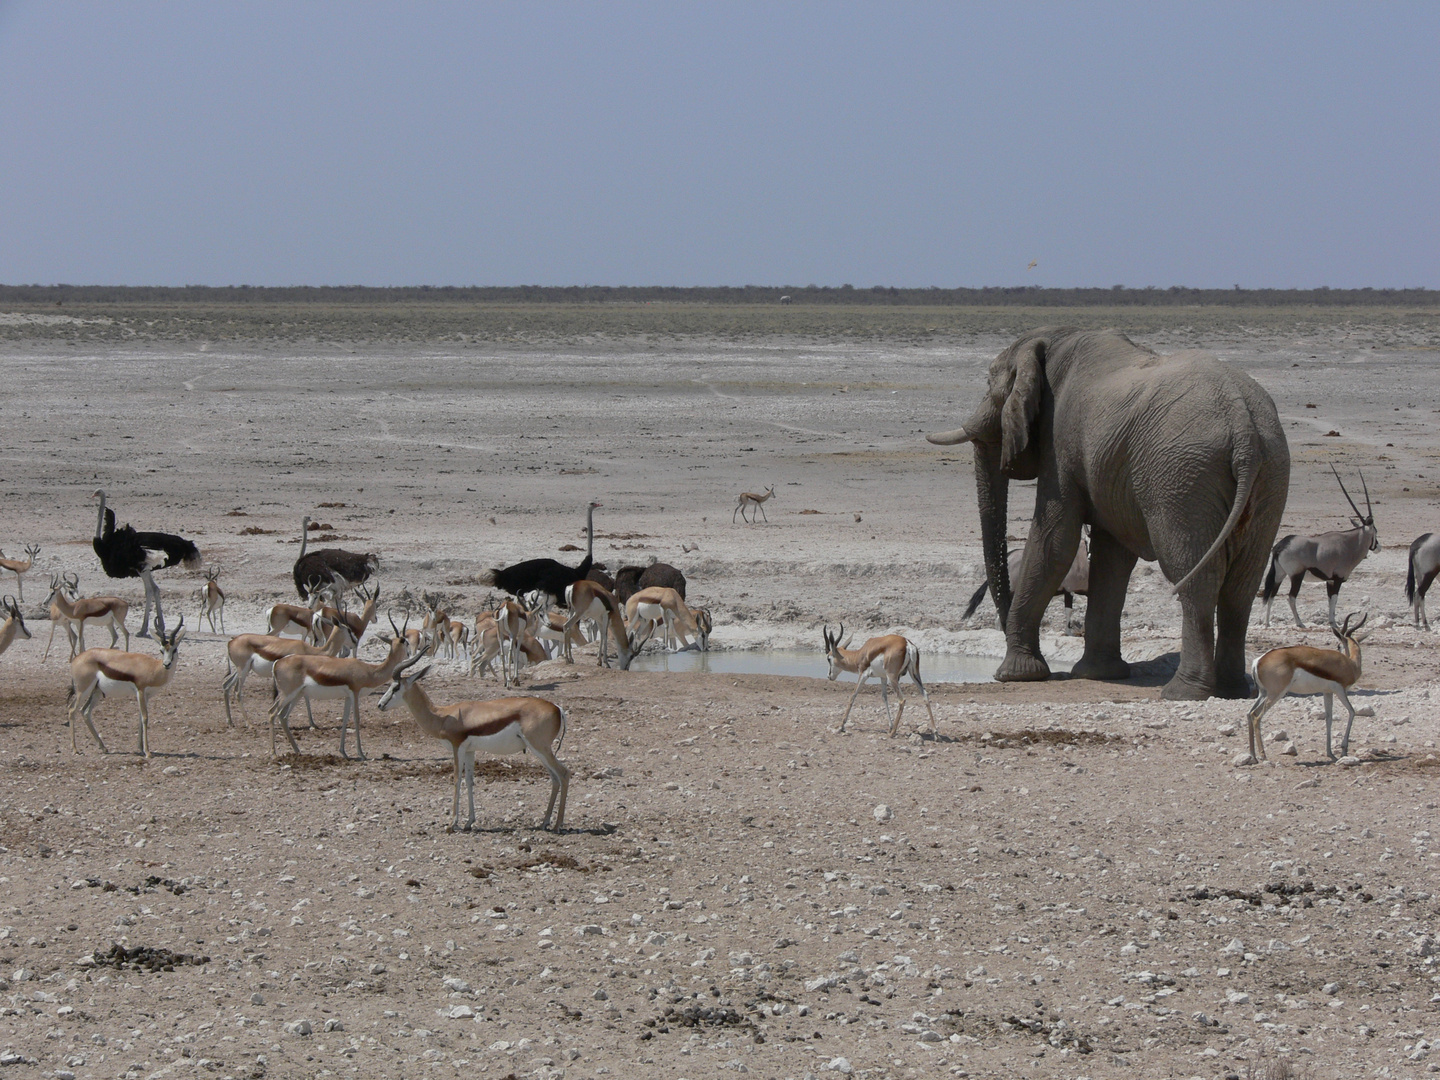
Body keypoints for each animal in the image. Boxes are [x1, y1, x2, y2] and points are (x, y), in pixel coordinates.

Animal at [927, 329, 1290, 702]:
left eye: (989, 381)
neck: (1049, 341)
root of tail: (1244, 429)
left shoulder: (1061, 443)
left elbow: (1054, 542)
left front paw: (1016, 675)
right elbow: (1112, 558)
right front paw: (1099, 674)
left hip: (1183, 478)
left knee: (1195, 577)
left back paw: (1182, 692)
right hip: (1269, 473)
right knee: (1241, 585)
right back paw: (1233, 691)